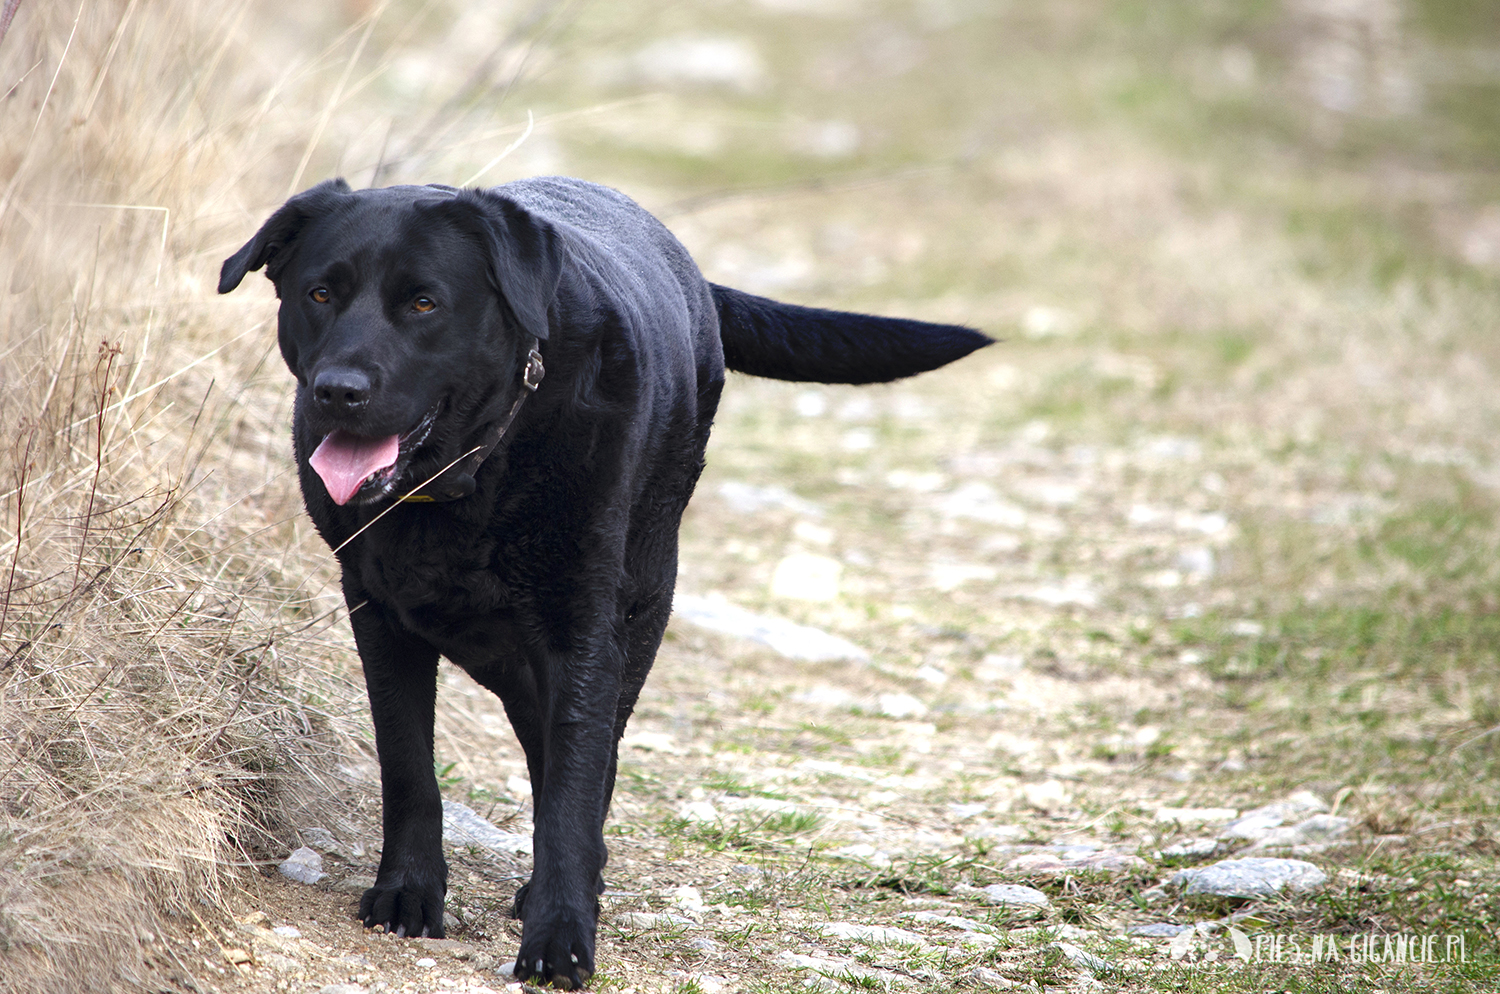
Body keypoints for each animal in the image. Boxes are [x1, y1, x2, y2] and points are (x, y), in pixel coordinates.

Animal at [217, 176, 990, 989]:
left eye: (424, 303)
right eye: (320, 293)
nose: (338, 391)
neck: (469, 476)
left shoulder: (581, 632)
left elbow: (573, 790)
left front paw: (560, 932)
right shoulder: (378, 617)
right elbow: (408, 768)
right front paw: (408, 891)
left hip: (641, 604)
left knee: (593, 753)